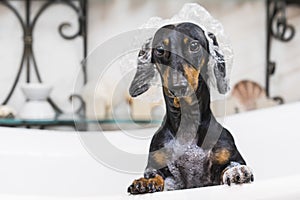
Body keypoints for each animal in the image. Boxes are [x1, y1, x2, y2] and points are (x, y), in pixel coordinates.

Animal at [126, 22, 253, 195]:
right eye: (160, 50)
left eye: (194, 45)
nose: (178, 86)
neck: (188, 123)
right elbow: (156, 174)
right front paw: (147, 181)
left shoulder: (230, 156)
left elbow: (231, 165)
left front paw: (236, 171)